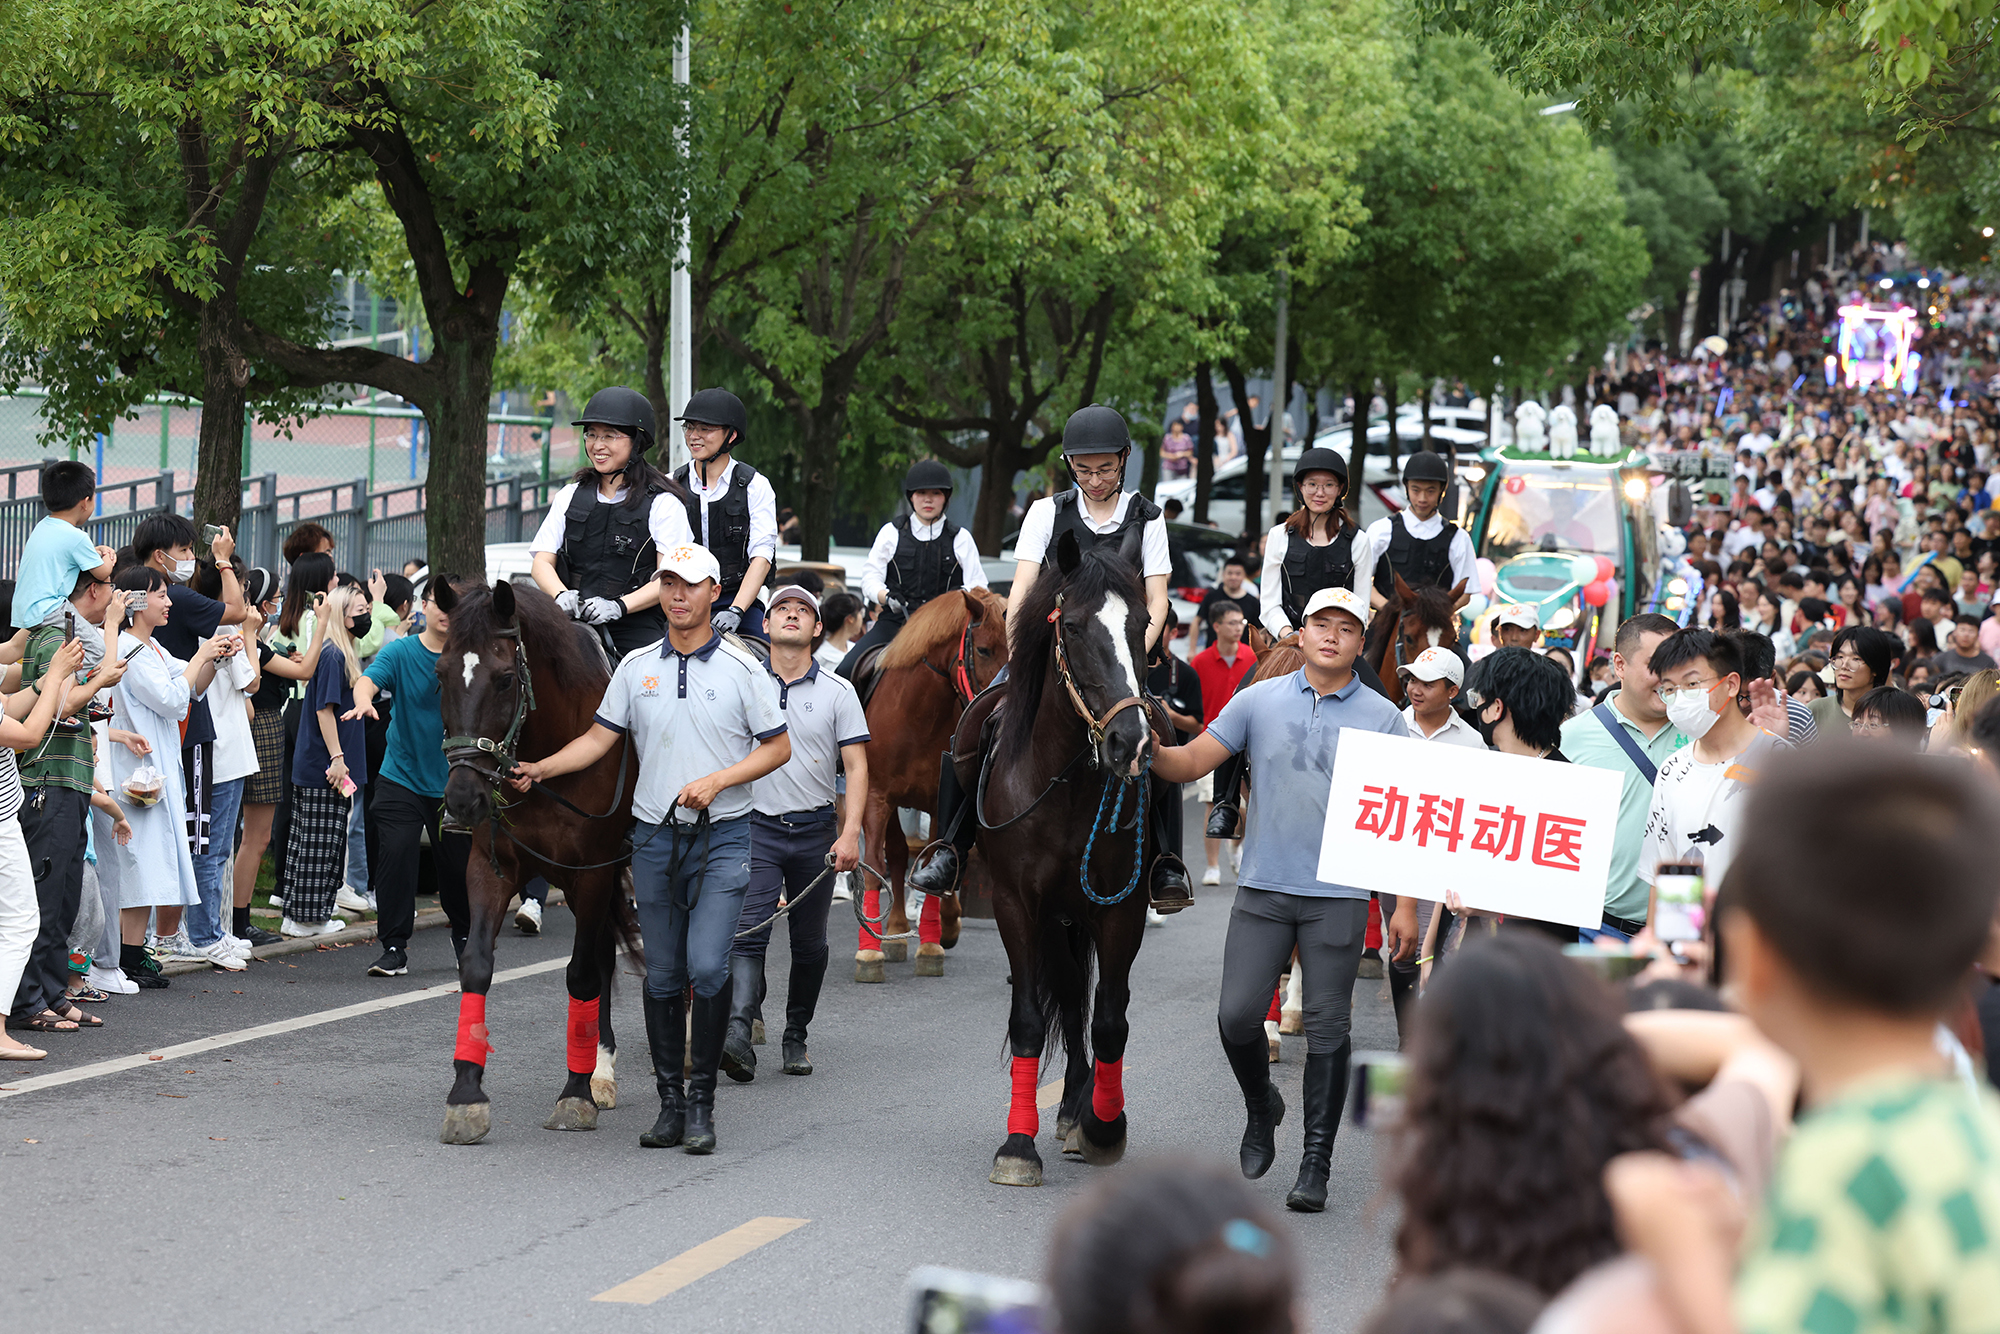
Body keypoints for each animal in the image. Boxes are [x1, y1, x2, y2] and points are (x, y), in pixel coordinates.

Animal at [438, 580, 640, 1152]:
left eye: (505, 678)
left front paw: (573, 1095)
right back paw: (601, 1067)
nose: (462, 800)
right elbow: (476, 965)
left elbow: (580, 973)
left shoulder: (593, 870)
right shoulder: (492, 867)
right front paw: (466, 1095)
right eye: (439, 673)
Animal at [856, 588, 1008, 988]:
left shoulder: (939, 801)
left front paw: (931, 943)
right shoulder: (877, 797)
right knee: (896, 855)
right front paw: (869, 952)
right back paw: (894, 930)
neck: (918, 716)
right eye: (984, 649)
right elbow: (875, 864)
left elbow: (938, 859)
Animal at [952, 528, 1160, 1184]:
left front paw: (1104, 1127)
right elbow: (1029, 1019)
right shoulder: (1019, 906)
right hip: (1054, 919)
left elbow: (1111, 1020)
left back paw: (1080, 1112)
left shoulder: (1120, 908)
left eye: (1144, 624)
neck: (1064, 783)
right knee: (1066, 999)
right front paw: (1019, 1146)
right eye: (1070, 626)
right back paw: (1066, 1108)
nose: (1130, 744)